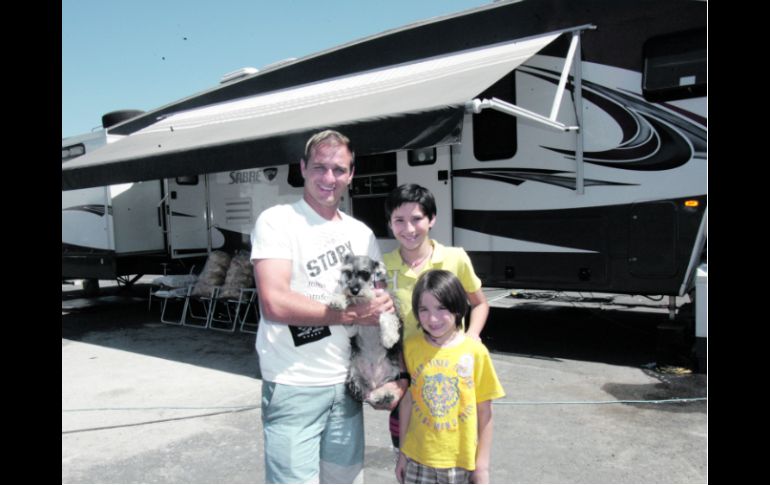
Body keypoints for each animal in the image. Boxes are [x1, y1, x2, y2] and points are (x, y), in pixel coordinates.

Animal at [328, 254, 402, 408]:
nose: (354, 290)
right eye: (348, 272)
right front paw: (337, 300)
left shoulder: (390, 306)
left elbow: (386, 316)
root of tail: (374, 382)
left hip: (393, 374)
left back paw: (385, 395)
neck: (364, 300)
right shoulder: (351, 325)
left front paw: (389, 338)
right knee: (366, 394)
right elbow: (348, 301)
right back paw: (380, 396)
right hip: (354, 377)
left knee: (378, 391)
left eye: (365, 273)